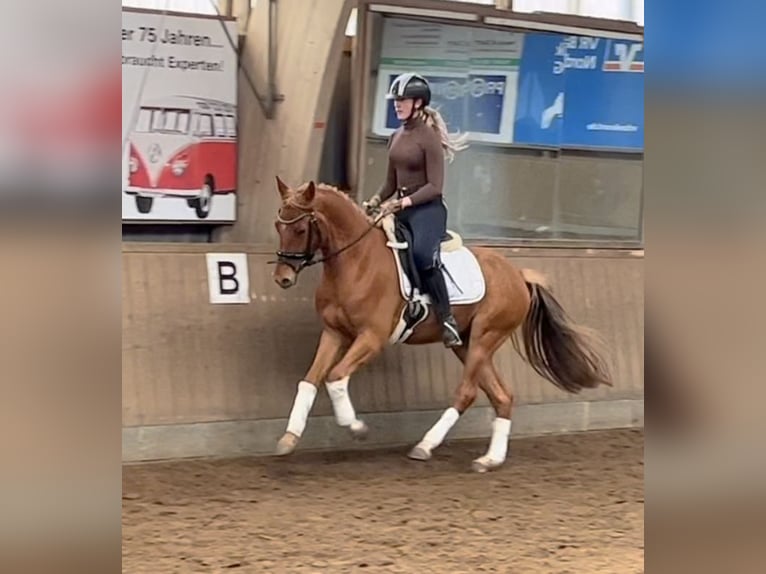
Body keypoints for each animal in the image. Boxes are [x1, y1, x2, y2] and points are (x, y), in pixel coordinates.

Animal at [270, 179, 612, 472]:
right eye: (277, 225)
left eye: (300, 227)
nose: (283, 278)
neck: (356, 261)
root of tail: (518, 275)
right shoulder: (334, 333)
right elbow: (310, 381)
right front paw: (288, 438)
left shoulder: (372, 337)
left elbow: (335, 377)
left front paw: (356, 427)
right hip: (466, 343)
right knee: (502, 396)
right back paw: (490, 460)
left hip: (486, 337)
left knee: (467, 393)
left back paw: (426, 446)